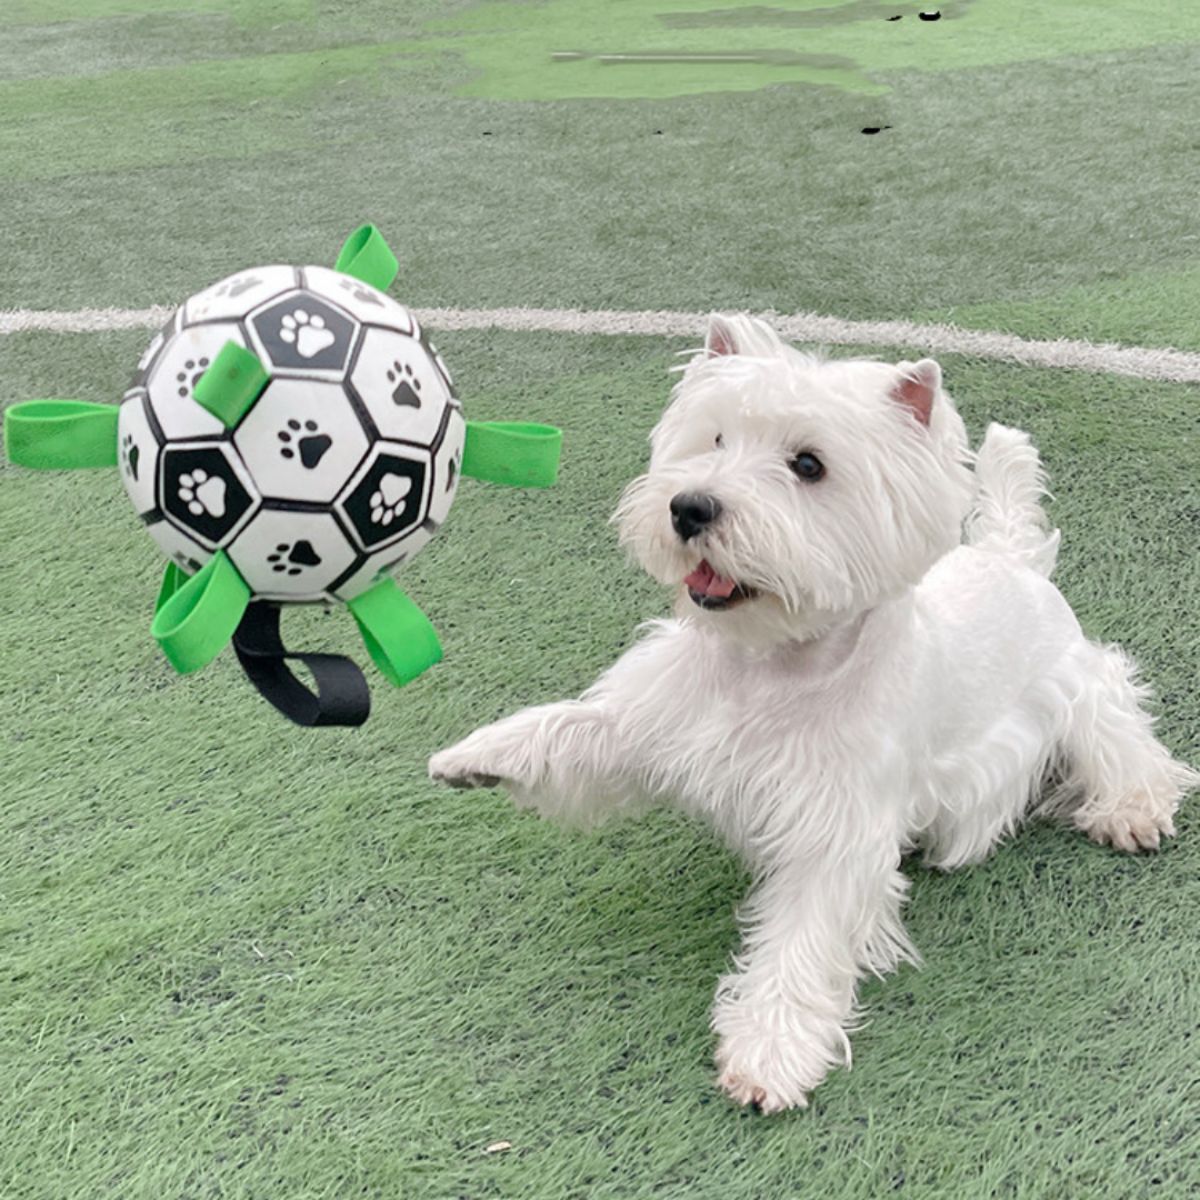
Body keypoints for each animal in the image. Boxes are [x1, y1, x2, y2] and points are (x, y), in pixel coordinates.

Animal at [427, 316, 1195, 1113]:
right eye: (715, 440)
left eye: (807, 465)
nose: (689, 508)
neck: (773, 663)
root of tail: (1008, 556)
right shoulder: (656, 723)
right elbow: (577, 726)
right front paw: (474, 756)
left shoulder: (835, 830)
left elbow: (800, 941)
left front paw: (769, 1052)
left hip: (1079, 690)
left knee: (1127, 741)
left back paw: (1131, 812)